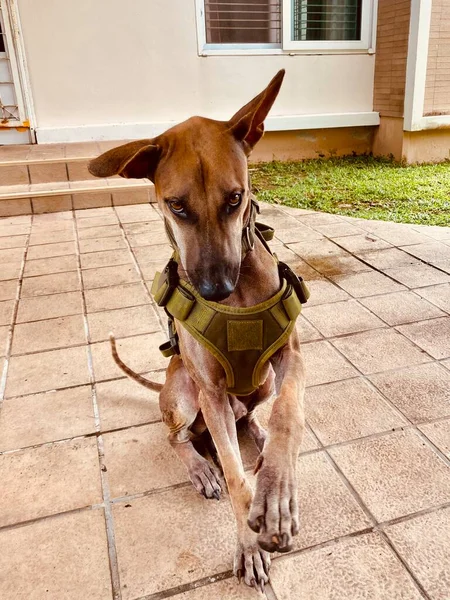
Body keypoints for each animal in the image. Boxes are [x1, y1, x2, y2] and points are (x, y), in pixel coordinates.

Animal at [88, 71, 306, 592]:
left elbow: (288, 414)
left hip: (261, 381)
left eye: (235, 198)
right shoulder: (209, 389)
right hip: (186, 395)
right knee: (179, 437)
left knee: (252, 417)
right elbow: (235, 476)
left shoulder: (291, 356)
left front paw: (278, 487)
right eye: (176, 206)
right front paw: (249, 544)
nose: (216, 288)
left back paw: (261, 444)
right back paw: (201, 467)